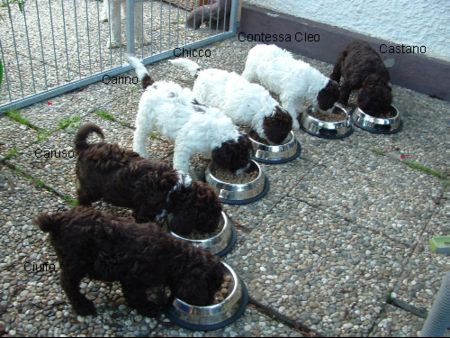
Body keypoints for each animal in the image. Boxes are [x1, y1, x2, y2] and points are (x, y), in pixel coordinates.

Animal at [35, 207, 225, 318]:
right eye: (209, 288)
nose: (209, 302)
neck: (173, 257)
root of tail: (56, 221)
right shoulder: (134, 279)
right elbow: (136, 297)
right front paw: (149, 308)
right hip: (75, 262)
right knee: (68, 284)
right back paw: (83, 306)